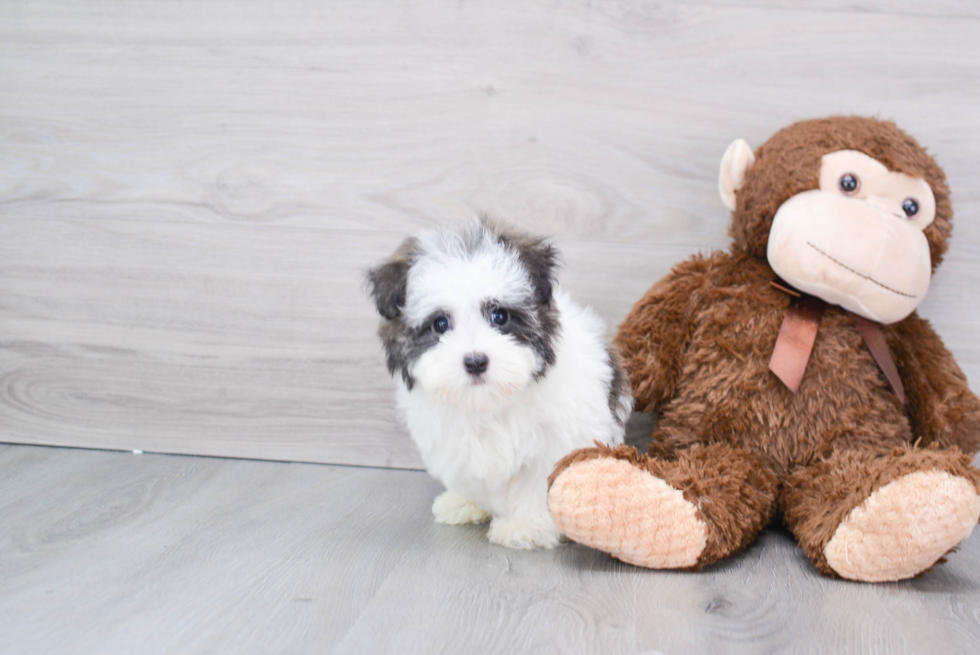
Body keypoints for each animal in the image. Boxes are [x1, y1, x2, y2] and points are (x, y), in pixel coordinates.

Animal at [366, 218, 628, 552]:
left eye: (500, 316)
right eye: (440, 324)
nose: (476, 361)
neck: (489, 400)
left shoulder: (557, 441)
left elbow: (537, 482)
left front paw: (526, 526)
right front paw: (465, 502)